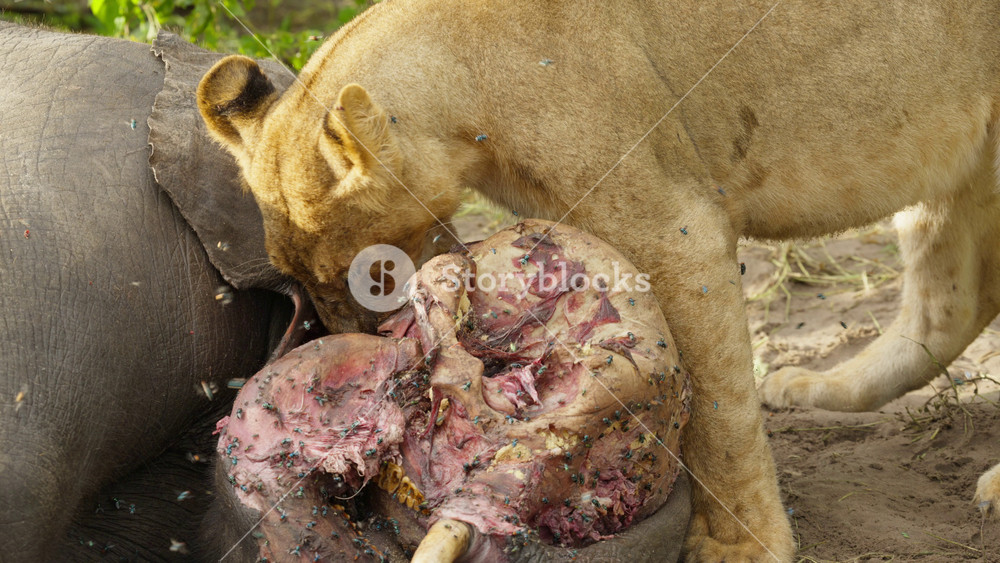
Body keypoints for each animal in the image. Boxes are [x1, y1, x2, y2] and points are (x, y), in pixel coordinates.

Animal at [196, 1, 1000, 560]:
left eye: (368, 273)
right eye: (300, 281)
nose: (361, 344)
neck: (464, 73)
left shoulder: (676, 230)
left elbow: (719, 413)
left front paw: (740, 544)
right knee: (953, 301)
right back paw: (817, 385)